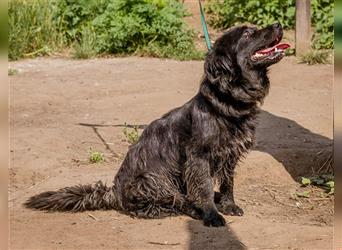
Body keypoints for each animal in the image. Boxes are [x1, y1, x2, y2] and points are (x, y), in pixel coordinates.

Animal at [25, 23, 290, 227]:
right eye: (248, 34)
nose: (278, 24)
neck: (226, 104)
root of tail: (114, 192)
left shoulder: (230, 155)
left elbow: (227, 183)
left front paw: (228, 205)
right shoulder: (198, 158)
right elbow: (203, 188)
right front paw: (211, 214)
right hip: (152, 180)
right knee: (167, 202)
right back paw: (191, 209)